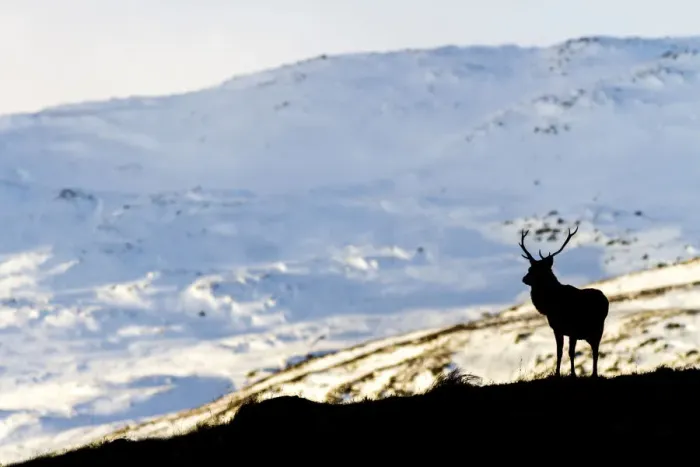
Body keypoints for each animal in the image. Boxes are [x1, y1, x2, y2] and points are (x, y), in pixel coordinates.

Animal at [517, 226, 609, 377]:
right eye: (530, 268)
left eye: (539, 271)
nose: (524, 279)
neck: (549, 305)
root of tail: (605, 299)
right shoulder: (557, 329)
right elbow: (559, 352)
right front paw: (557, 373)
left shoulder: (573, 329)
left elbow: (571, 352)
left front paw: (573, 374)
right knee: (594, 349)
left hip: (598, 329)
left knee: (596, 351)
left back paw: (594, 374)